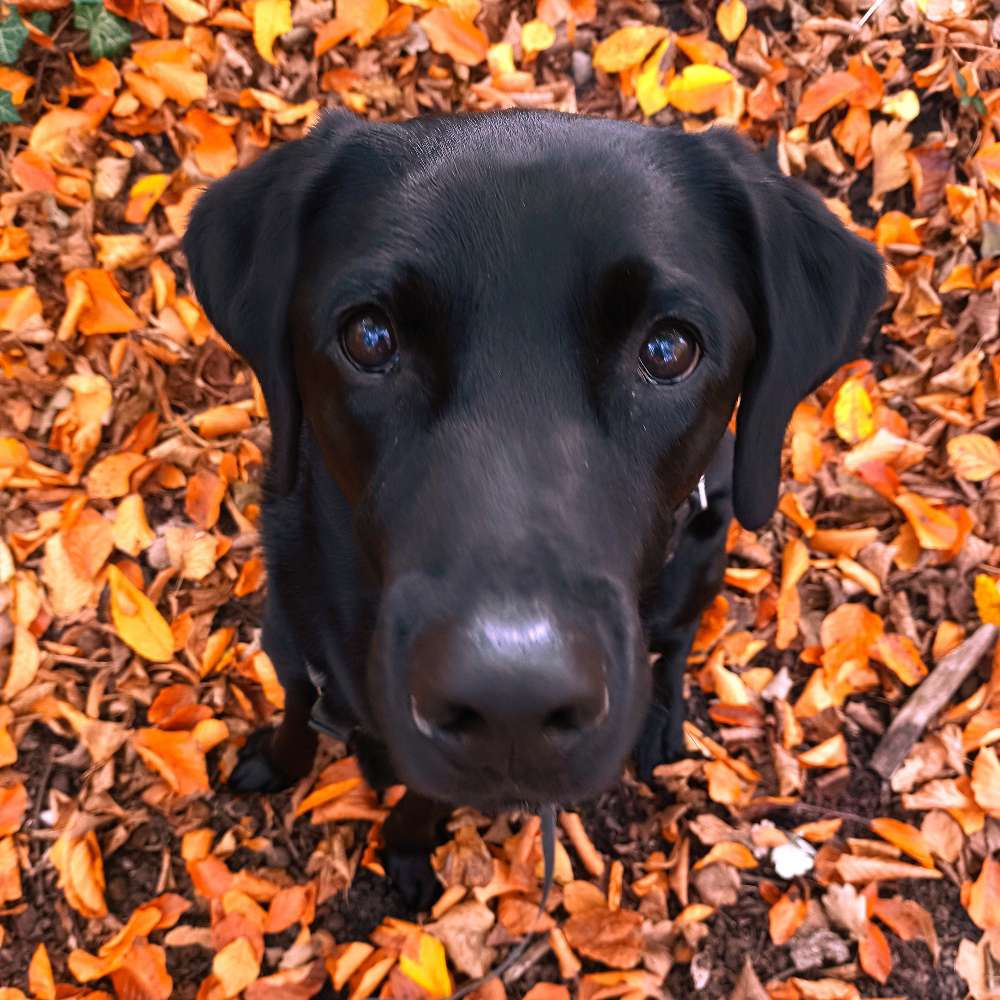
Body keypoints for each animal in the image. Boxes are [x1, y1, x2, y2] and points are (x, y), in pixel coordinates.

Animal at [184, 111, 888, 908]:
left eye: (669, 349)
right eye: (369, 337)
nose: (511, 704)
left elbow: (422, 800)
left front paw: (406, 852)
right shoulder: (294, 655)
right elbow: (297, 713)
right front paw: (279, 763)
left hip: (700, 553)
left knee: (677, 641)